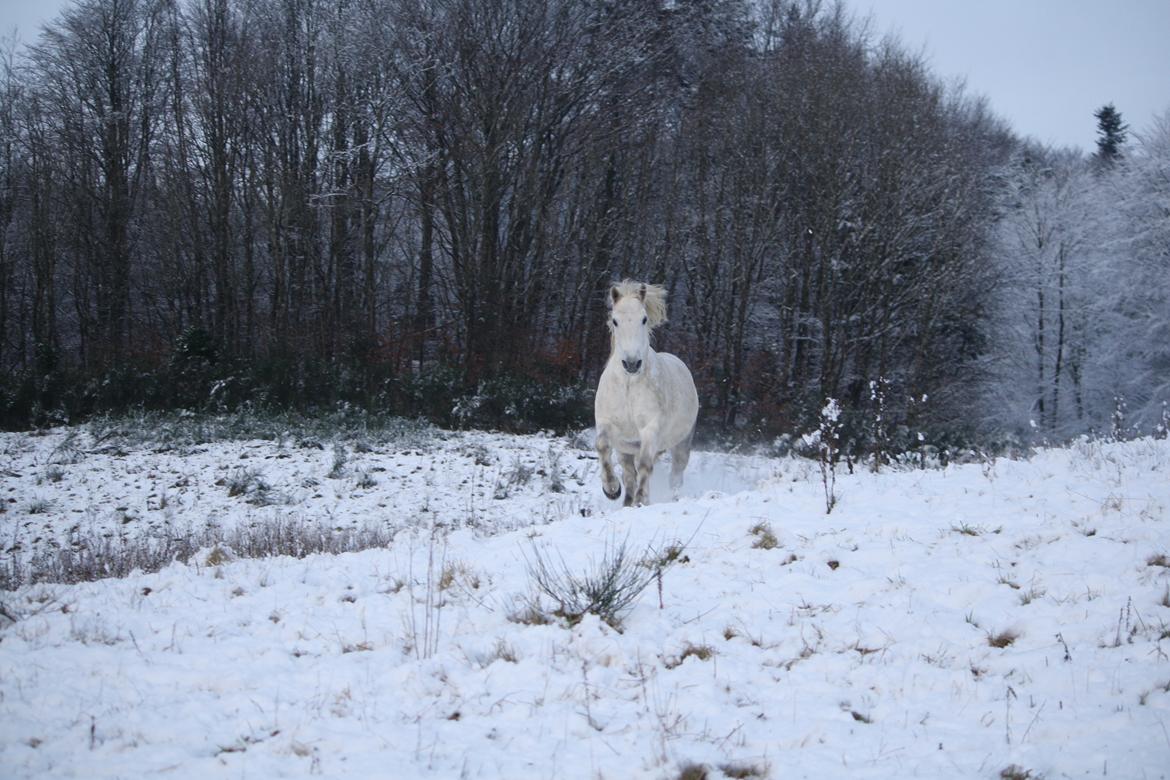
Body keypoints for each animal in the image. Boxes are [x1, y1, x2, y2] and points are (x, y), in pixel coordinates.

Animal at [594, 280, 692, 507]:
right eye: (615, 320)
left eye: (644, 319)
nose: (632, 363)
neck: (628, 386)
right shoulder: (606, 424)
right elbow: (602, 446)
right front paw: (611, 489)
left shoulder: (650, 429)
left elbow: (646, 465)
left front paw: (641, 501)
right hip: (626, 449)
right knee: (630, 474)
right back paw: (626, 500)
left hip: (681, 443)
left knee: (675, 476)